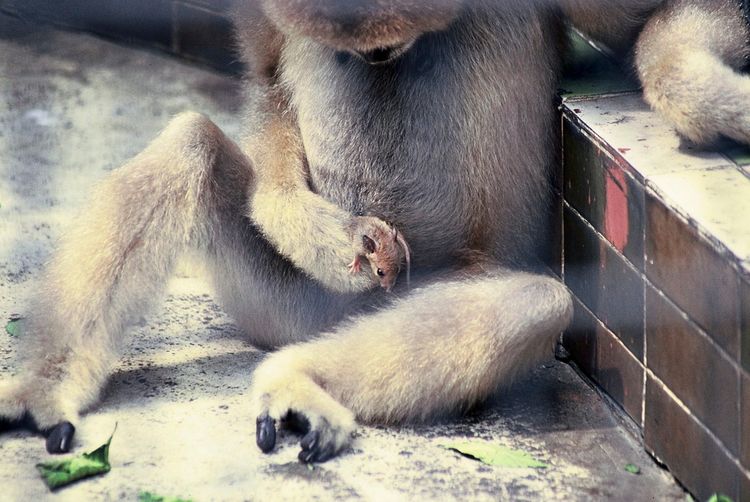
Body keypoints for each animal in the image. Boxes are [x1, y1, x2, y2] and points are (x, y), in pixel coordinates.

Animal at [1, 0, 748, 464]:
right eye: (369, 47)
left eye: (390, 42)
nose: (383, 55)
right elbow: (267, 77)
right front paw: (310, 226)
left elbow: (648, 24)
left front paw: (710, 97)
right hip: (289, 305)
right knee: (190, 146)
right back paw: (47, 388)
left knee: (532, 302)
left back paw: (301, 378)